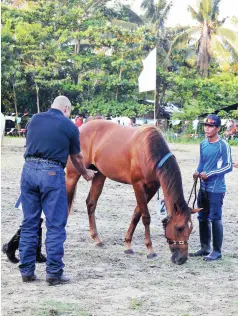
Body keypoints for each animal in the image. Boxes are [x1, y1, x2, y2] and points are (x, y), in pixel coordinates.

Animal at [65, 120, 199, 264]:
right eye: (179, 228)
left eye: (190, 229)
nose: (182, 259)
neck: (149, 151)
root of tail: (81, 128)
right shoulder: (138, 185)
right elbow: (146, 217)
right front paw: (150, 250)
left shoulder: (152, 188)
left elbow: (137, 214)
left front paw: (128, 244)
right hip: (73, 174)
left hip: (99, 175)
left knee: (91, 203)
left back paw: (97, 239)